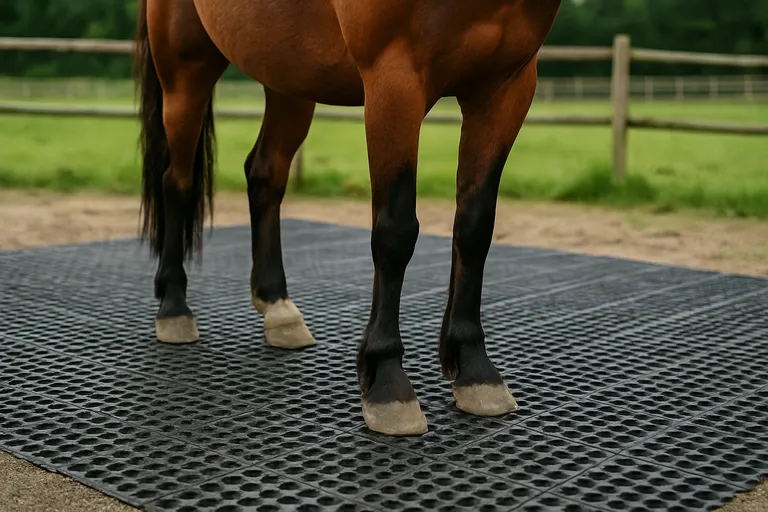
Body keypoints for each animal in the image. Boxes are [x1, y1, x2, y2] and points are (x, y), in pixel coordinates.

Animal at [134, 0, 562, 436]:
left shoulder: (505, 87)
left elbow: (474, 227)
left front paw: (475, 368)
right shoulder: (394, 78)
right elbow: (395, 230)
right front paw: (388, 380)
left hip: (288, 77)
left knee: (264, 176)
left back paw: (277, 306)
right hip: (185, 72)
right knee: (177, 182)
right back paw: (174, 307)